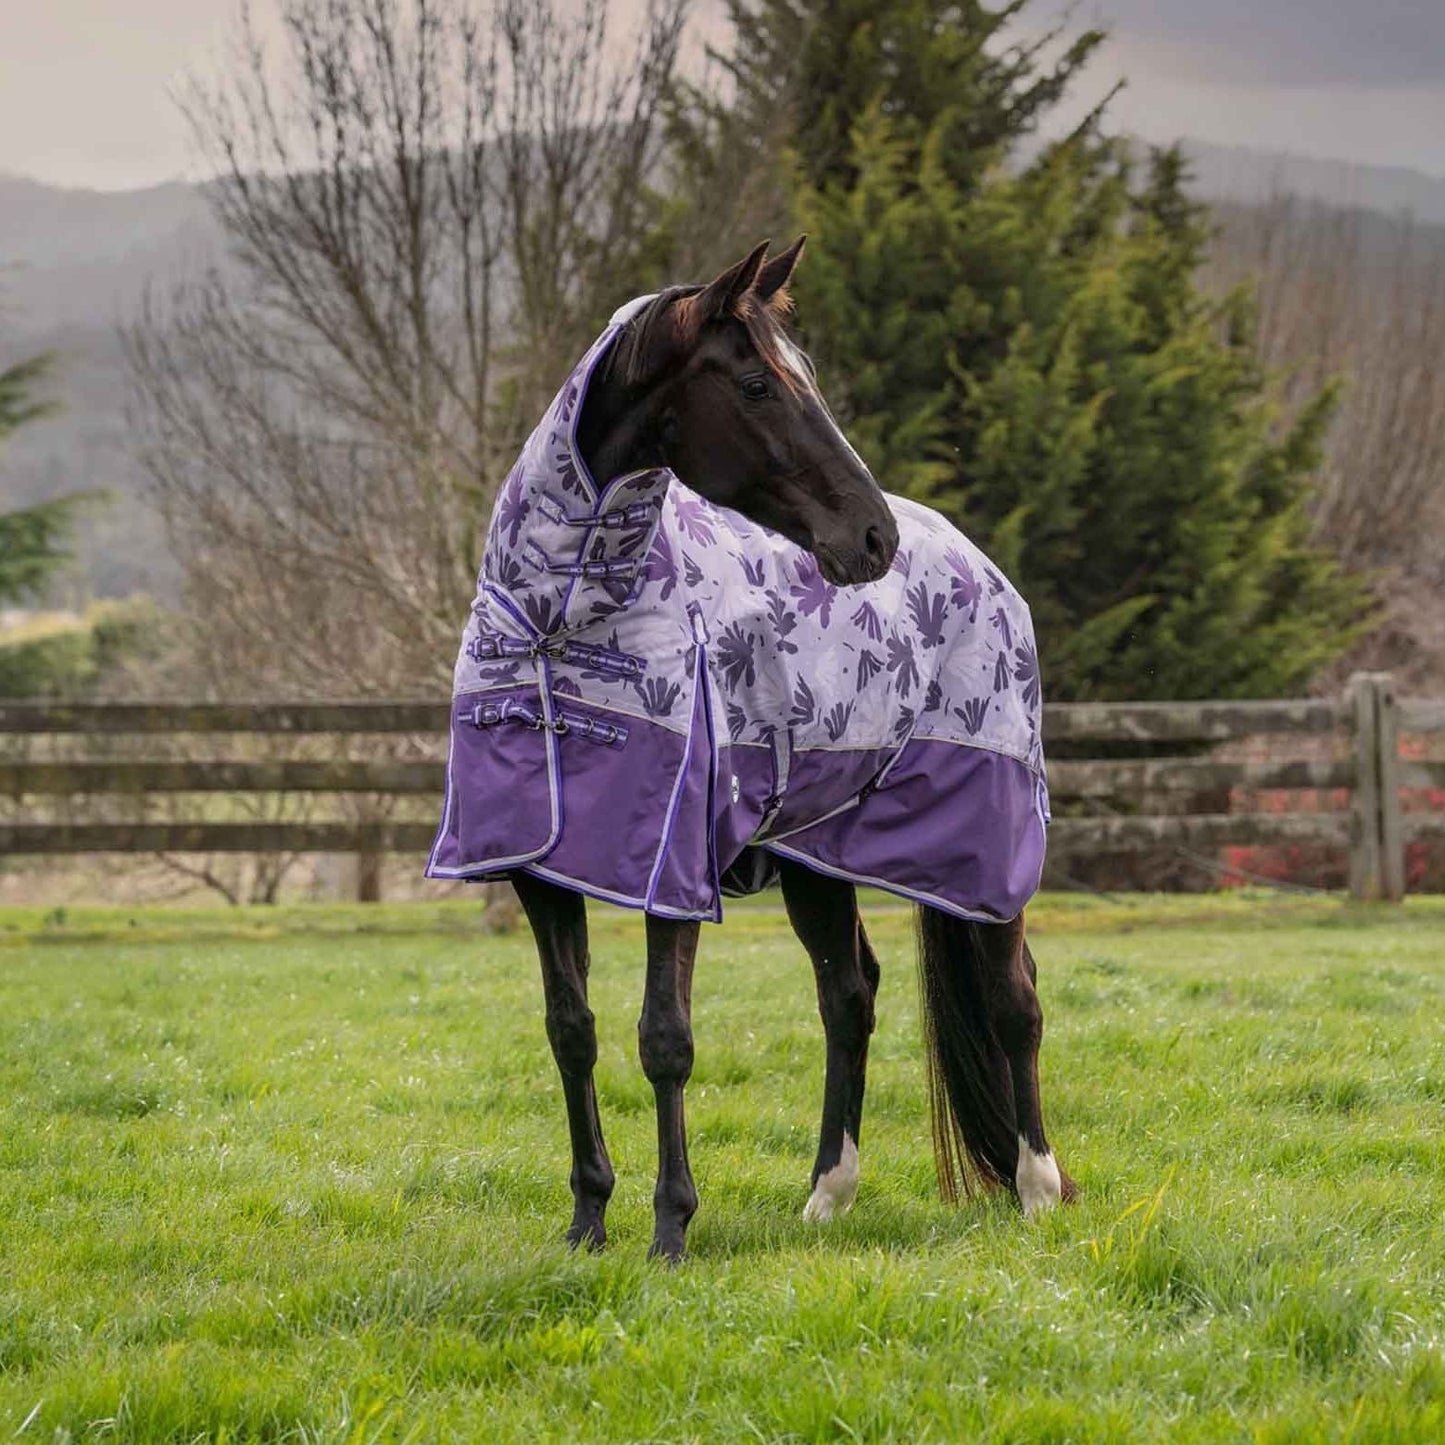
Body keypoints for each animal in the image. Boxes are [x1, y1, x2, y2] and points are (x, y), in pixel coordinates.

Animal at [428, 239, 1074, 1260]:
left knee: (1015, 997)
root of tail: (977, 562)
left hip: (986, 847)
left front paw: (669, 1231)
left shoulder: (671, 867)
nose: (872, 535)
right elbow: (571, 1029)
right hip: (817, 856)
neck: (558, 618)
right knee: (848, 996)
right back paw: (827, 1193)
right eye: (759, 385)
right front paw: (586, 1222)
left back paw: (1036, 1187)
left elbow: (664, 1037)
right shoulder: (539, 867)